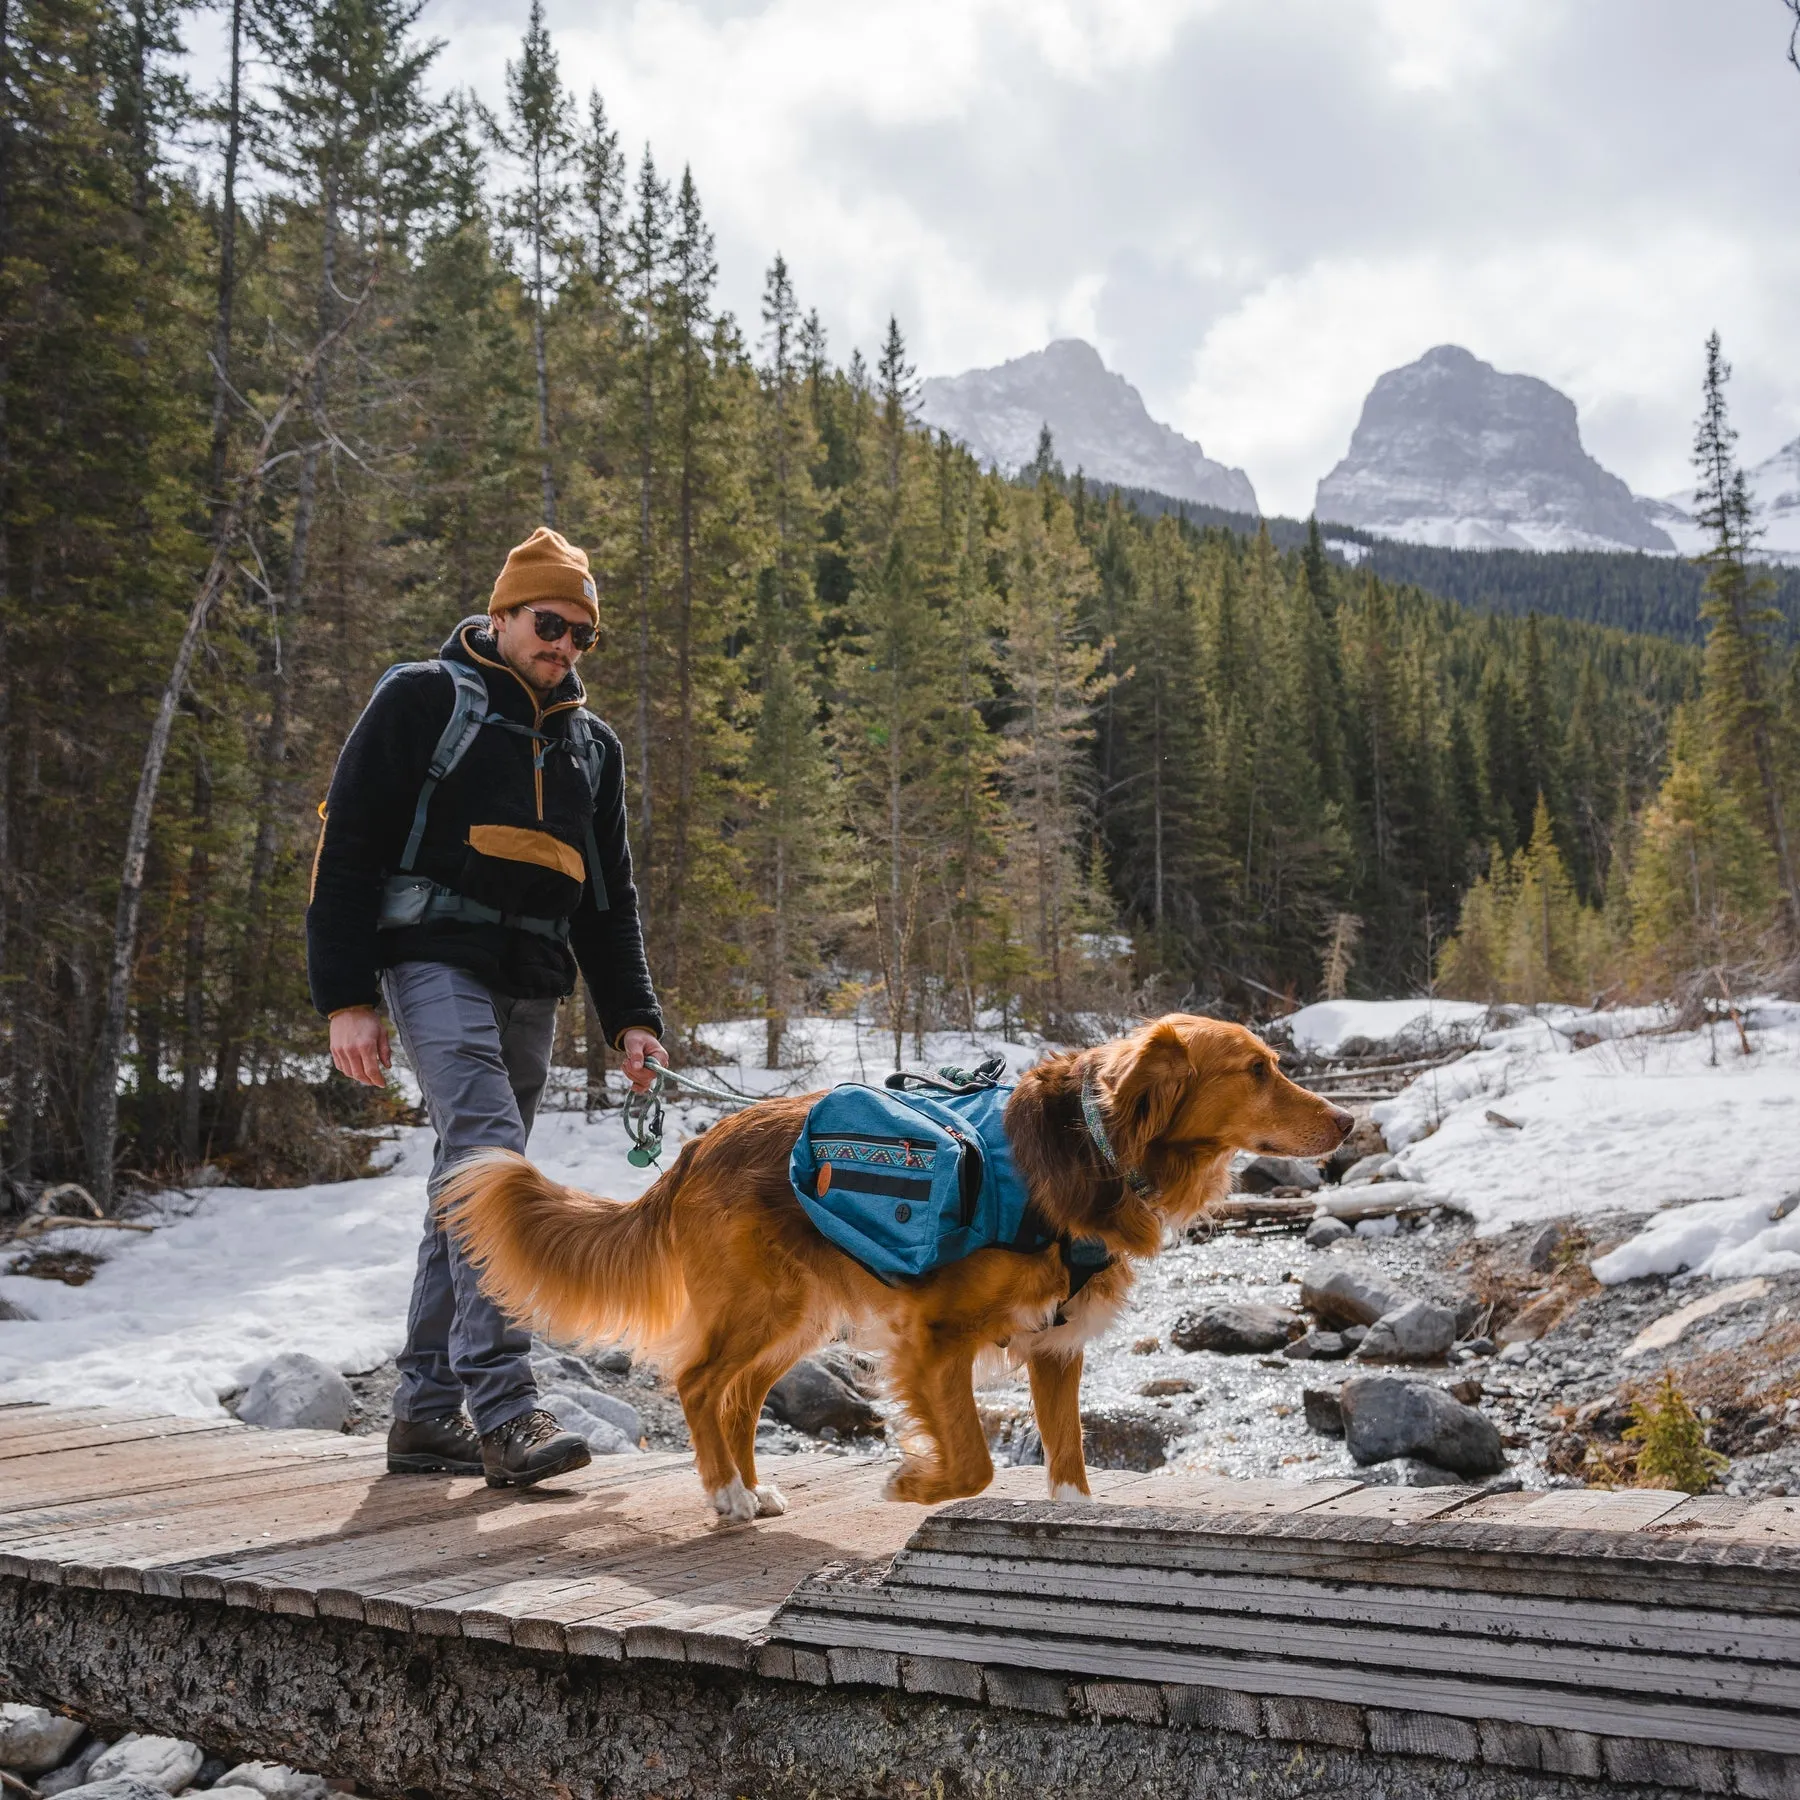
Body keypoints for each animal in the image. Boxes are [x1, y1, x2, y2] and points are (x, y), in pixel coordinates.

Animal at [439, 1015, 1353, 1519]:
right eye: (1258, 1070)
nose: (1348, 1121)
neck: (1094, 1146)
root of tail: (700, 1144)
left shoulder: (1057, 1347)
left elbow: (1067, 1458)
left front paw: (1073, 1516)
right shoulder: (934, 1338)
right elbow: (976, 1463)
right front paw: (909, 1485)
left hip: (796, 1318)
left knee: (737, 1397)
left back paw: (751, 1490)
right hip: (763, 1306)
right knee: (699, 1383)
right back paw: (725, 1494)